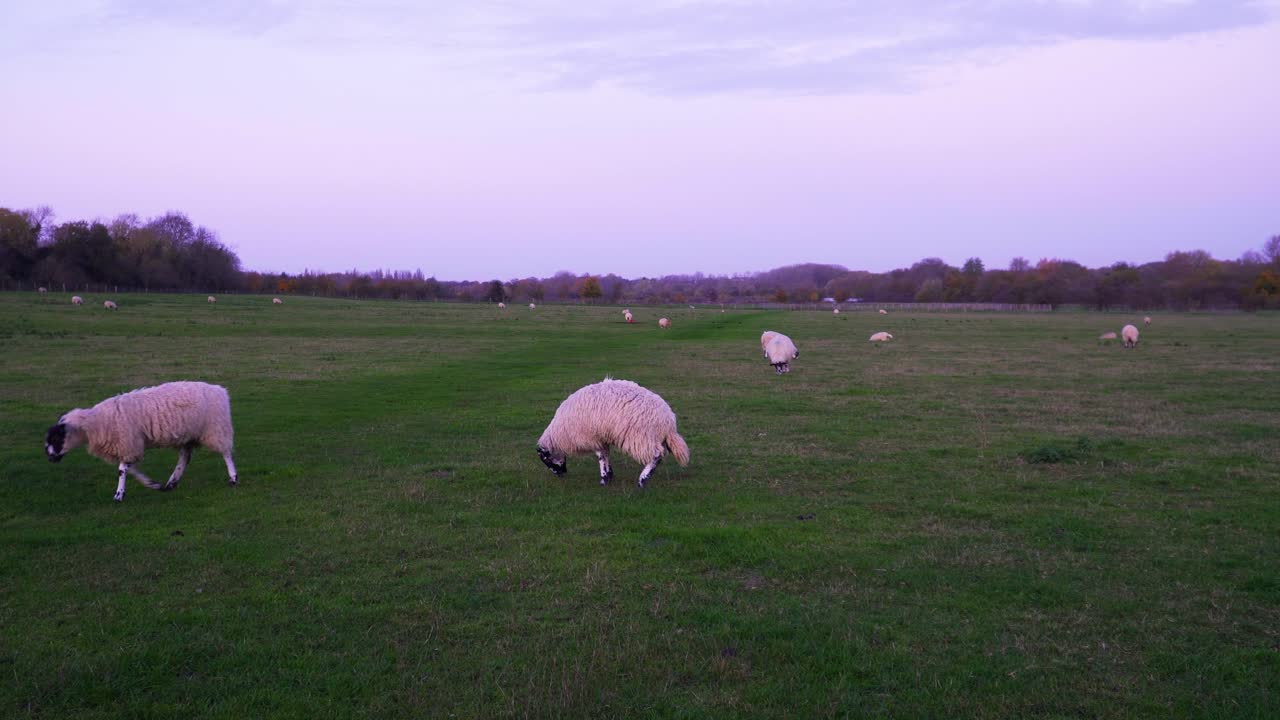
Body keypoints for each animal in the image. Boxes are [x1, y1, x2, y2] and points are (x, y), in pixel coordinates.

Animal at [44, 381, 237, 503]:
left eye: (57, 437)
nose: (50, 458)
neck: (96, 423)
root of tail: (221, 390)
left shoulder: (127, 441)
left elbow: (122, 470)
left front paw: (119, 495)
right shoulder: (129, 446)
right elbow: (130, 469)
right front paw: (152, 484)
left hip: (216, 428)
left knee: (226, 453)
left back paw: (233, 478)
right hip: (189, 435)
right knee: (185, 457)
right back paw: (171, 482)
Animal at [537, 378, 689, 487]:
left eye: (545, 459)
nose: (561, 474)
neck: (560, 434)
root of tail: (668, 422)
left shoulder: (593, 437)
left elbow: (601, 456)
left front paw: (604, 479)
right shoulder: (601, 437)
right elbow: (605, 454)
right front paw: (609, 475)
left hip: (641, 436)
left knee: (656, 456)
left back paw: (642, 480)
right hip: (654, 437)